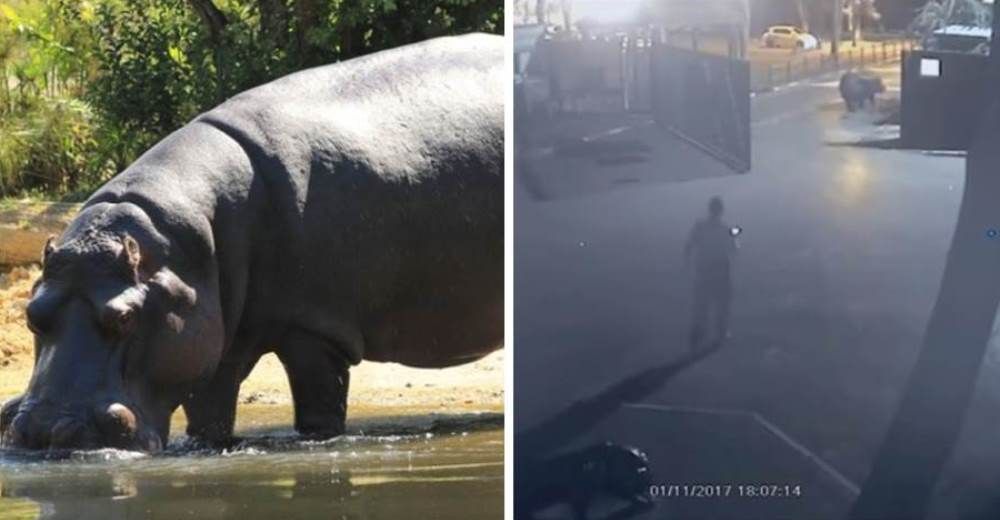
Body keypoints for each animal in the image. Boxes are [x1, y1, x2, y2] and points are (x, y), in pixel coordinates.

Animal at [0, 34, 500, 452]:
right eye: (31, 313)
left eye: (124, 317)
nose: (46, 430)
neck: (184, 245)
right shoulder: (212, 339)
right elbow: (209, 415)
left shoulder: (313, 330)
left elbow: (319, 411)